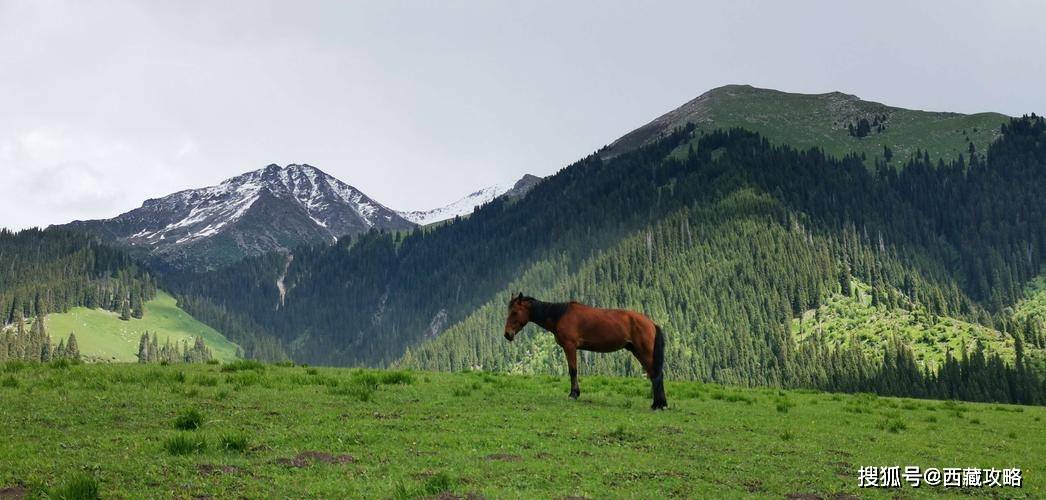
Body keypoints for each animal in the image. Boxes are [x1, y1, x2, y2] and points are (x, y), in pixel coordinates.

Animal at [499, 292, 665, 410]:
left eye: (514, 312)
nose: (507, 334)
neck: (560, 315)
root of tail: (651, 323)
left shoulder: (570, 347)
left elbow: (573, 370)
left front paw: (574, 394)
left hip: (643, 352)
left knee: (655, 375)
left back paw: (658, 404)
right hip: (638, 352)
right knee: (654, 374)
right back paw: (660, 403)